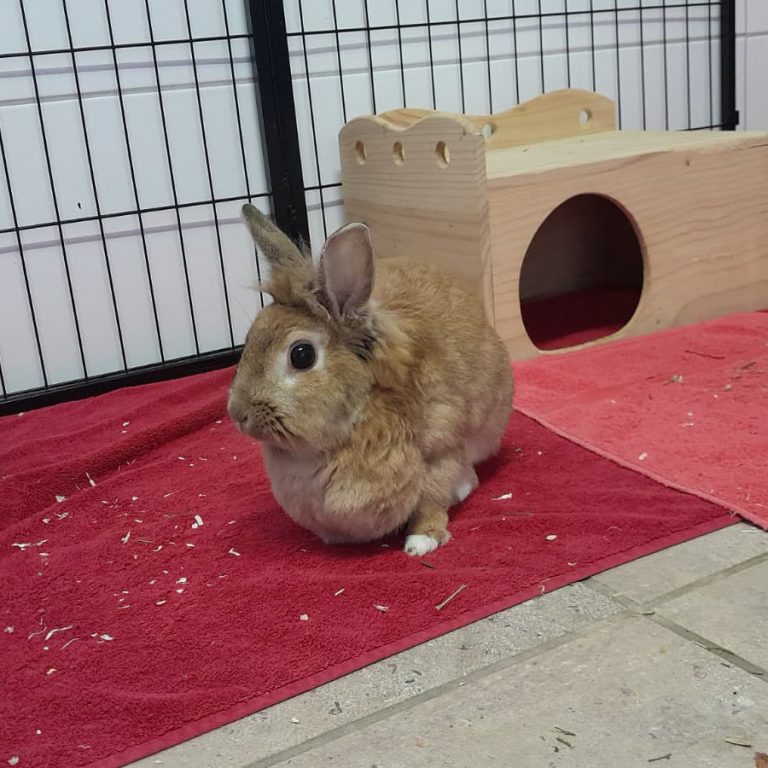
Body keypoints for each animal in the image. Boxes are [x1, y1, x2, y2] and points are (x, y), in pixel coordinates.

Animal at [227, 204, 513, 556]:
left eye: (302, 355)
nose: (237, 414)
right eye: (249, 340)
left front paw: (421, 542)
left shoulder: (441, 452)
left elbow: (432, 502)